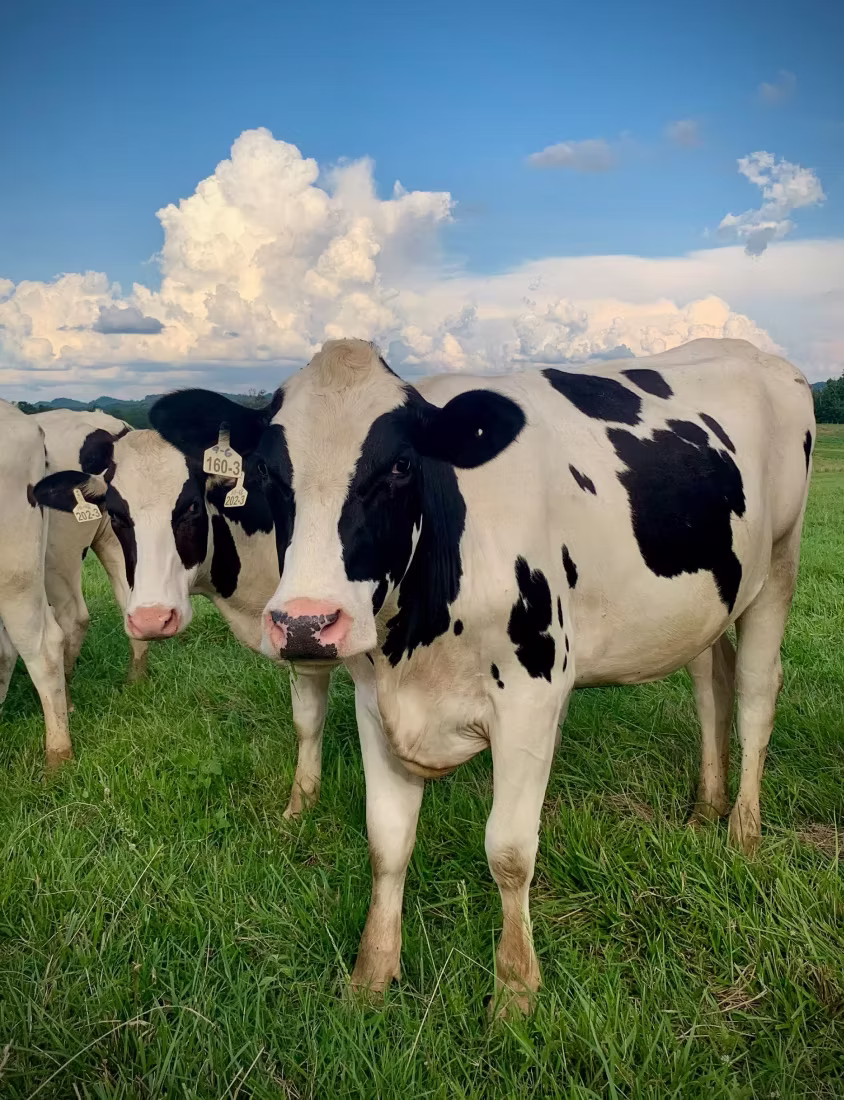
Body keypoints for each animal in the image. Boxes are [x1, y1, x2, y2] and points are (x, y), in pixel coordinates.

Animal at [149, 338, 817, 1013]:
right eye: (263, 472)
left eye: (401, 467)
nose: (307, 624)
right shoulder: (374, 699)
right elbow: (386, 840)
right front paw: (372, 975)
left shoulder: (532, 697)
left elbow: (510, 850)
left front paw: (516, 989)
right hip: (707, 606)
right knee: (713, 685)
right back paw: (706, 807)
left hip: (778, 565)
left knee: (757, 697)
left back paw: (742, 832)